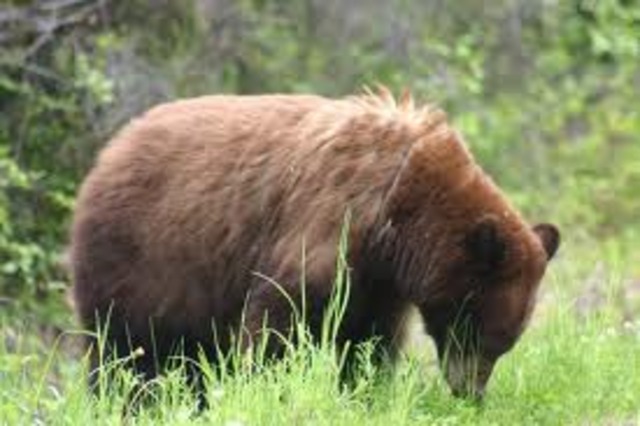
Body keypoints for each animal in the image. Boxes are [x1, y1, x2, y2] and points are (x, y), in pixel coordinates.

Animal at [69, 88, 560, 400]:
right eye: (479, 330)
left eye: (506, 343)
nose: (469, 393)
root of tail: (107, 153)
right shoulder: (328, 222)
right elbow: (279, 320)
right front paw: (270, 388)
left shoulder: (380, 282)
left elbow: (370, 340)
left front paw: (362, 391)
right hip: (144, 258)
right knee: (127, 348)